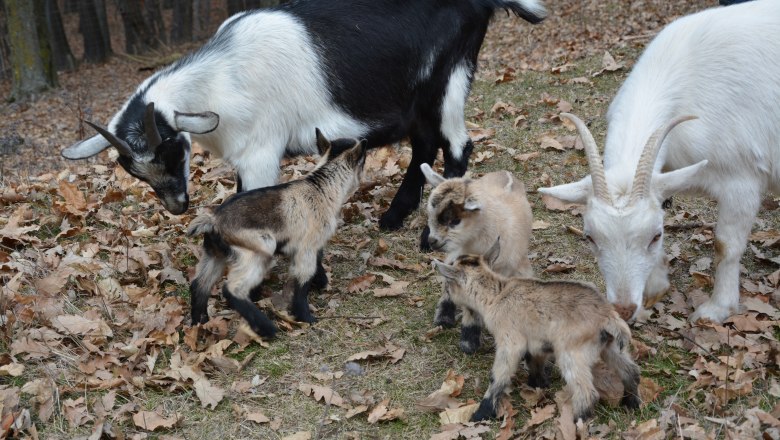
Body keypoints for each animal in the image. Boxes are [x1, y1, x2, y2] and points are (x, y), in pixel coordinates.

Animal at [61, 0, 546, 233]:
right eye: (134, 172)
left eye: (170, 149)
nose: (177, 205)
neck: (225, 74)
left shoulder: (260, 152)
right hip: (416, 98)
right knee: (425, 145)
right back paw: (394, 218)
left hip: (449, 78)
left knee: (458, 144)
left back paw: (431, 236)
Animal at [187, 130, 366, 337]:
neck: (321, 188)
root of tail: (214, 220)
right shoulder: (307, 248)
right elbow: (302, 281)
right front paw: (305, 316)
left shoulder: (309, 247)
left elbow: (317, 265)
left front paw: (322, 283)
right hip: (260, 248)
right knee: (232, 289)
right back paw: (267, 328)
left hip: (214, 255)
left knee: (199, 285)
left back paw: (199, 322)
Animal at [433, 241, 641, 422]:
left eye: (449, 282)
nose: (447, 294)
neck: (496, 295)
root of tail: (607, 316)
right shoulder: (536, 343)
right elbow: (535, 362)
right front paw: (538, 384)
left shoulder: (510, 341)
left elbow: (498, 376)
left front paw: (482, 413)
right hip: (611, 347)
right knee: (631, 372)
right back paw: (632, 403)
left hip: (571, 352)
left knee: (586, 392)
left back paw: (578, 422)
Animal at [538, 0, 780, 323]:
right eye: (590, 237)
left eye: (656, 235)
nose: (624, 309)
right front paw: (655, 287)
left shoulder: (741, 179)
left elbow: (725, 245)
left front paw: (716, 309)